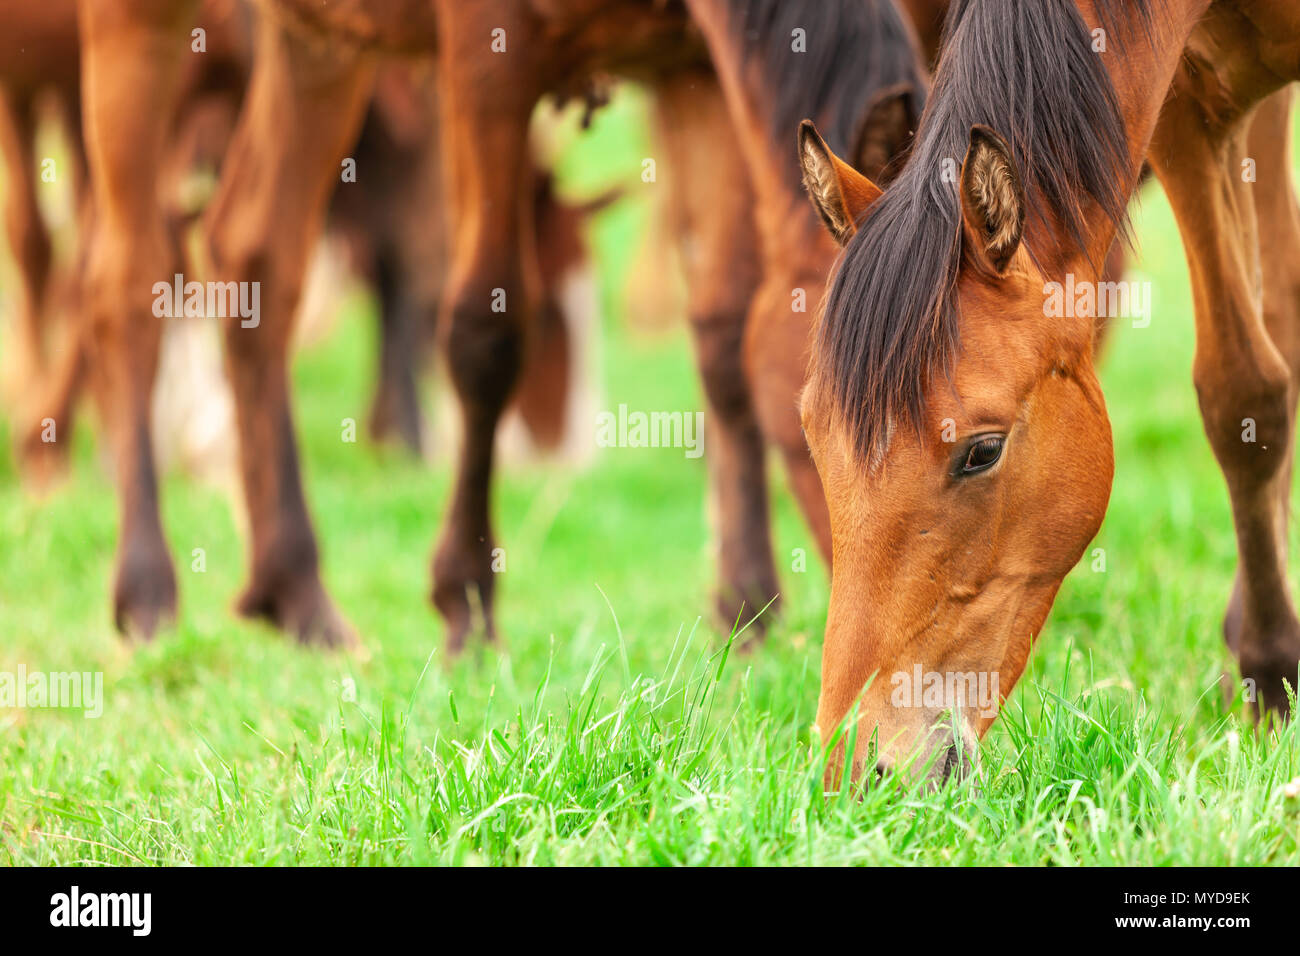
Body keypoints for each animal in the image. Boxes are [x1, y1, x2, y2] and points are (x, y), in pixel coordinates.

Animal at [797, 0, 1300, 786]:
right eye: (814, 439)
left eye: (982, 452)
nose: (857, 772)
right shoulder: (1193, 109)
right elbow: (1243, 394)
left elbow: (1251, 396)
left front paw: (1274, 681)